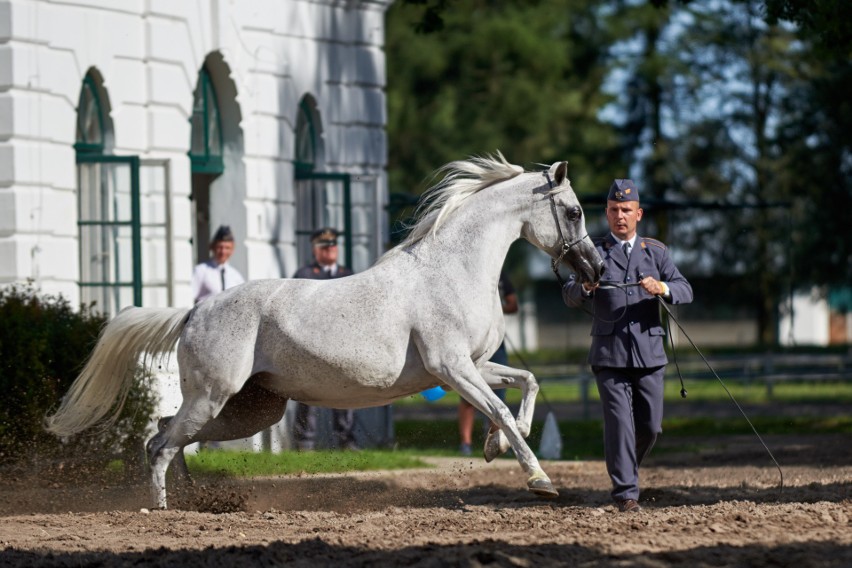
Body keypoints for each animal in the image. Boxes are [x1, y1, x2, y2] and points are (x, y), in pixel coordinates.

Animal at [46, 153, 604, 508]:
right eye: (575, 211)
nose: (595, 270)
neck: (451, 270)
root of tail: (193, 312)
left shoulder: (476, 365)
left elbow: (524, 386)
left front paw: (495, 446)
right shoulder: (451, 369)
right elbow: (501, 409)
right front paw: (539, 479)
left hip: (248, 409)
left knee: (164, 432)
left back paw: (193, 500)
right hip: (213, 396)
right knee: (161, 444)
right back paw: (161, 511)